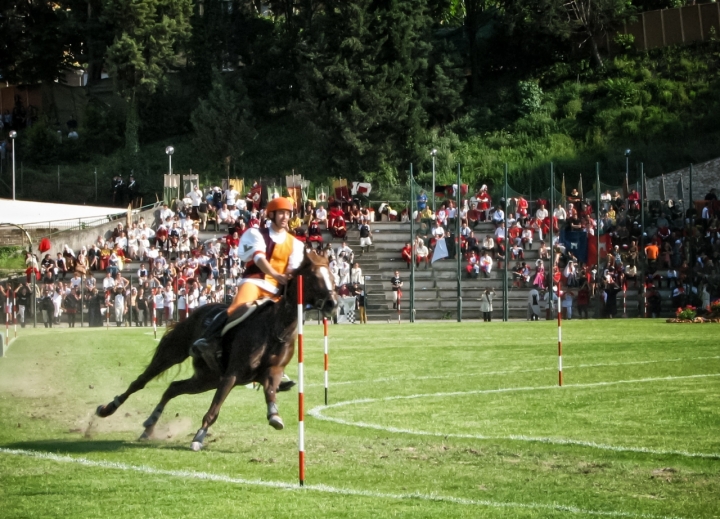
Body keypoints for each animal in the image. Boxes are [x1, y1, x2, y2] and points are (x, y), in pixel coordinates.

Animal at [95, 252, 338, 450]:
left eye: (332, 275)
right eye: (314, 277)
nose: (332, 304)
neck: (276, 327)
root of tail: (196, 311)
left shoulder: (273, 371)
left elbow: (270, 392)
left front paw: (274, 416)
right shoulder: (232, 374)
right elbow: (214, 407)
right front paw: (199, 437)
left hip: (207, 378)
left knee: (173, 388)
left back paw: (150, 425)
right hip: (173, 354)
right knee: (140, 382)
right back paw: (108, 409)